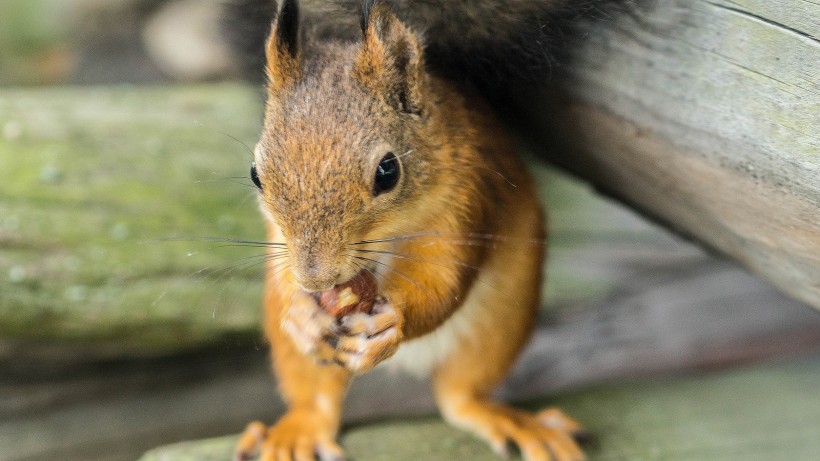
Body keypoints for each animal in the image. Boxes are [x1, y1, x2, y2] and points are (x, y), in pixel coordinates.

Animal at [232, 0, 596, 460]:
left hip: (500, 321)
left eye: (388, 172)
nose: (316, 280)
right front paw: (301, 314)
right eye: (255, 173)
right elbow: (284, 277)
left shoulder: (467, 198)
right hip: (295, 356)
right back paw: (297, 431)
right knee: (316, 400)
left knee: (460, 395)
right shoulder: (280, 240)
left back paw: (514, 422)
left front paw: (392, 322)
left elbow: (444, 282)